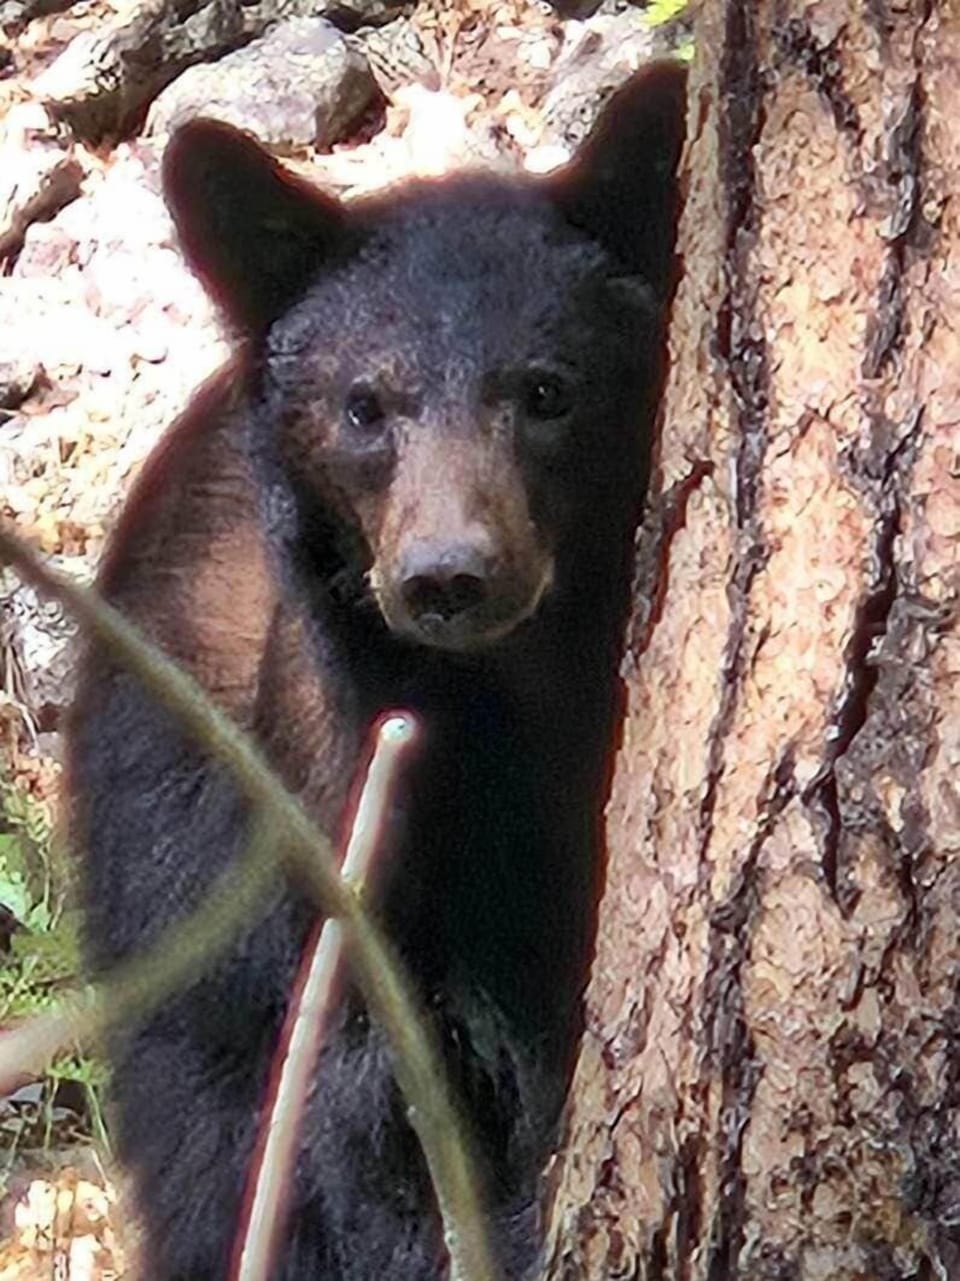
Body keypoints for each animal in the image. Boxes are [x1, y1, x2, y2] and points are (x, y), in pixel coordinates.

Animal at [68, 62, 686, 1281]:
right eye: (365, 405)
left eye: (548, 391)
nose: (448, 575)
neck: (510, 709)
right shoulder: (353, 855)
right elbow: (365, 1133)